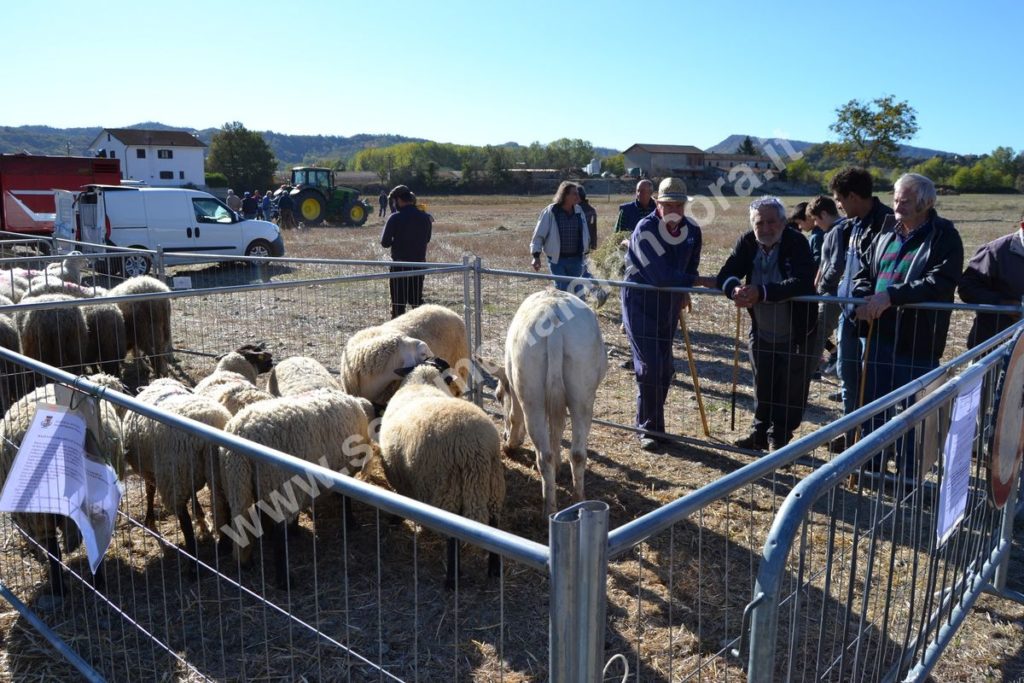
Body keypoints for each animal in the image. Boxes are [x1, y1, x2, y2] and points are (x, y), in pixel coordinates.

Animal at [378, 358, 505, 589]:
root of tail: (474, 448)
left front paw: (394, 518)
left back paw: (452, 579)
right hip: (492, 484)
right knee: (494, 524)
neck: (422, 381)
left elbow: (399, 496)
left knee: (453, 534)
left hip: (448, 488)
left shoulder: (398, 474)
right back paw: (493, 569)